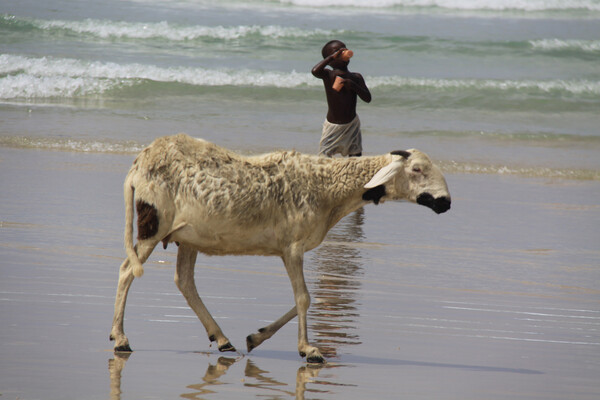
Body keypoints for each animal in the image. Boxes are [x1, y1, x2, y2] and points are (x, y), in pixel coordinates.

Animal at [111, 134, 450, 362]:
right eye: (417, 170)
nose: (446, 202)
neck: (330, 190)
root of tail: (139, 162)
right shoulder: (294, 246)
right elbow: (304, 298)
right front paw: (309, 350)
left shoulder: (289, 250)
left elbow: (303, 299)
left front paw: (256, 337)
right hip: (154, 222)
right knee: (127, 270)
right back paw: (120, 339)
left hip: (189, 236)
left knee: (184, 281)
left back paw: (222, 339)